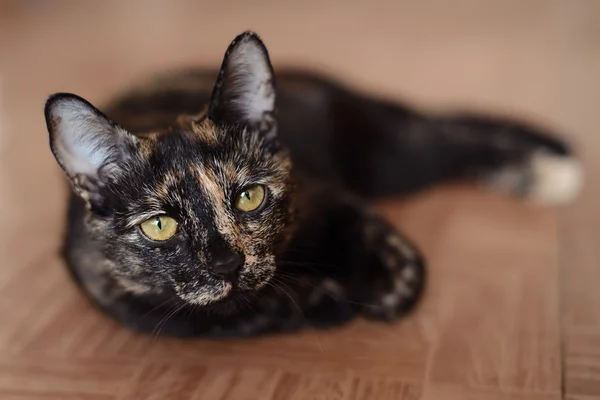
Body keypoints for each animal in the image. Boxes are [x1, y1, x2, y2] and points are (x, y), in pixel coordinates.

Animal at [44, 32, 584, 338]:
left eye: (250, 196)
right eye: (160, 226)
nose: (226, 263)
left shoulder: (331, 195)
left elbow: (392, 251)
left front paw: (387, 284)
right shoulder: (129, 301)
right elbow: (232, 315)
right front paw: (325, 301)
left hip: (387, 155)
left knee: (451, 137)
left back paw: (551, 172)